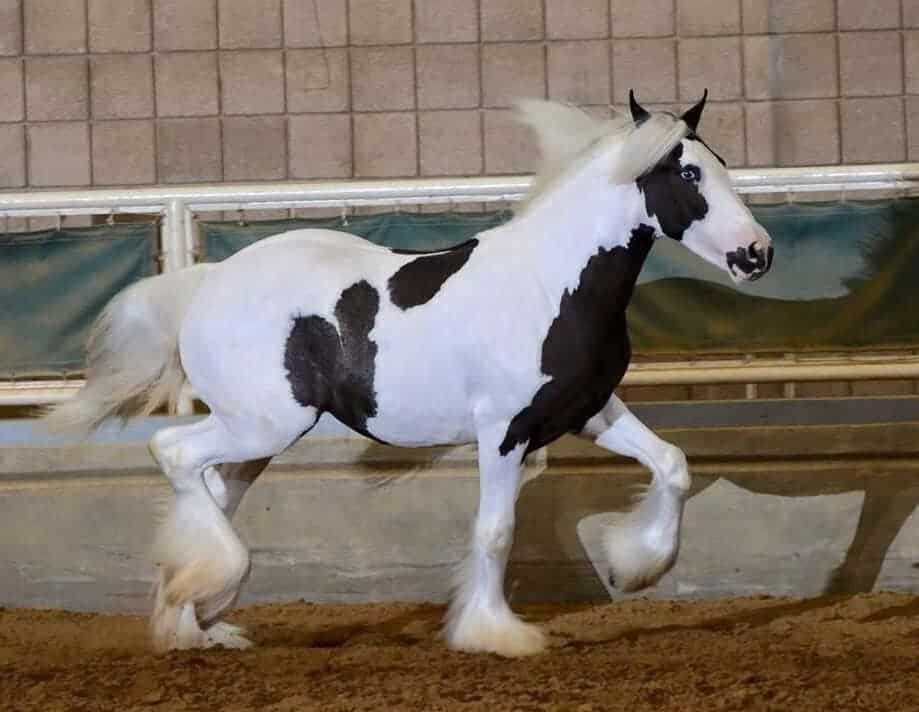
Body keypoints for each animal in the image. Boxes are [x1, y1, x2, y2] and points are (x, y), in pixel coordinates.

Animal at [43, 92, 776, 660]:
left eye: (722, 166)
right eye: (688, 174)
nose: (756, 255)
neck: (550, 285)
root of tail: (207, 283)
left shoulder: (587, 412)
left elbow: (672, 465)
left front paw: (635, 569)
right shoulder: (502, 432)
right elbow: (494, 532)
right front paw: (496, 635)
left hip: (256, 438)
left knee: (210, 492)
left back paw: (193, 624)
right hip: (263, 425)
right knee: (171, 452)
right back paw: (201, 603)